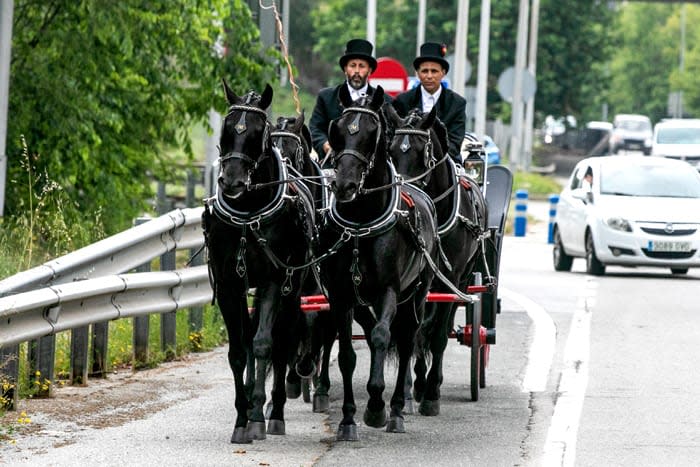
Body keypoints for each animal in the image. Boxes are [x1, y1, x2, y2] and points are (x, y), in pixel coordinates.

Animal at [202, 82, 318, 444]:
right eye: (227, 130)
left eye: (256, 133)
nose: (232, 182)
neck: (249, 214)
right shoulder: (230, 284)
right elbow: (240, 350)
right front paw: (241, 418)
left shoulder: (273, 280)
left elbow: (265, 343)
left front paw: (256, 417)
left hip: (295, 289)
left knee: (283, 340)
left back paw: (275, 410)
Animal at [322, 86, 438, 440]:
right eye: (337, 129)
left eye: (372, 133)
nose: (344, 185)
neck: (362, 222)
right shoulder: (341, 295)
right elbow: (347, 354)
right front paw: (347, 420)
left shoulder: (389, 289)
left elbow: (382, 337)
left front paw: (376, 406)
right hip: (364, 302)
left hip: (417, 293)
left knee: (407, 338)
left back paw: (398, 408)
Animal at [388, 107, 486, 416]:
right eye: (391, 149)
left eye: (423, 152)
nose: (406, 193)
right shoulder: (419, 282)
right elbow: (416, 332)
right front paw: (414, 387)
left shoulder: (450, 281)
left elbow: (438, 335)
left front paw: (431, 393)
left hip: (464, 280)